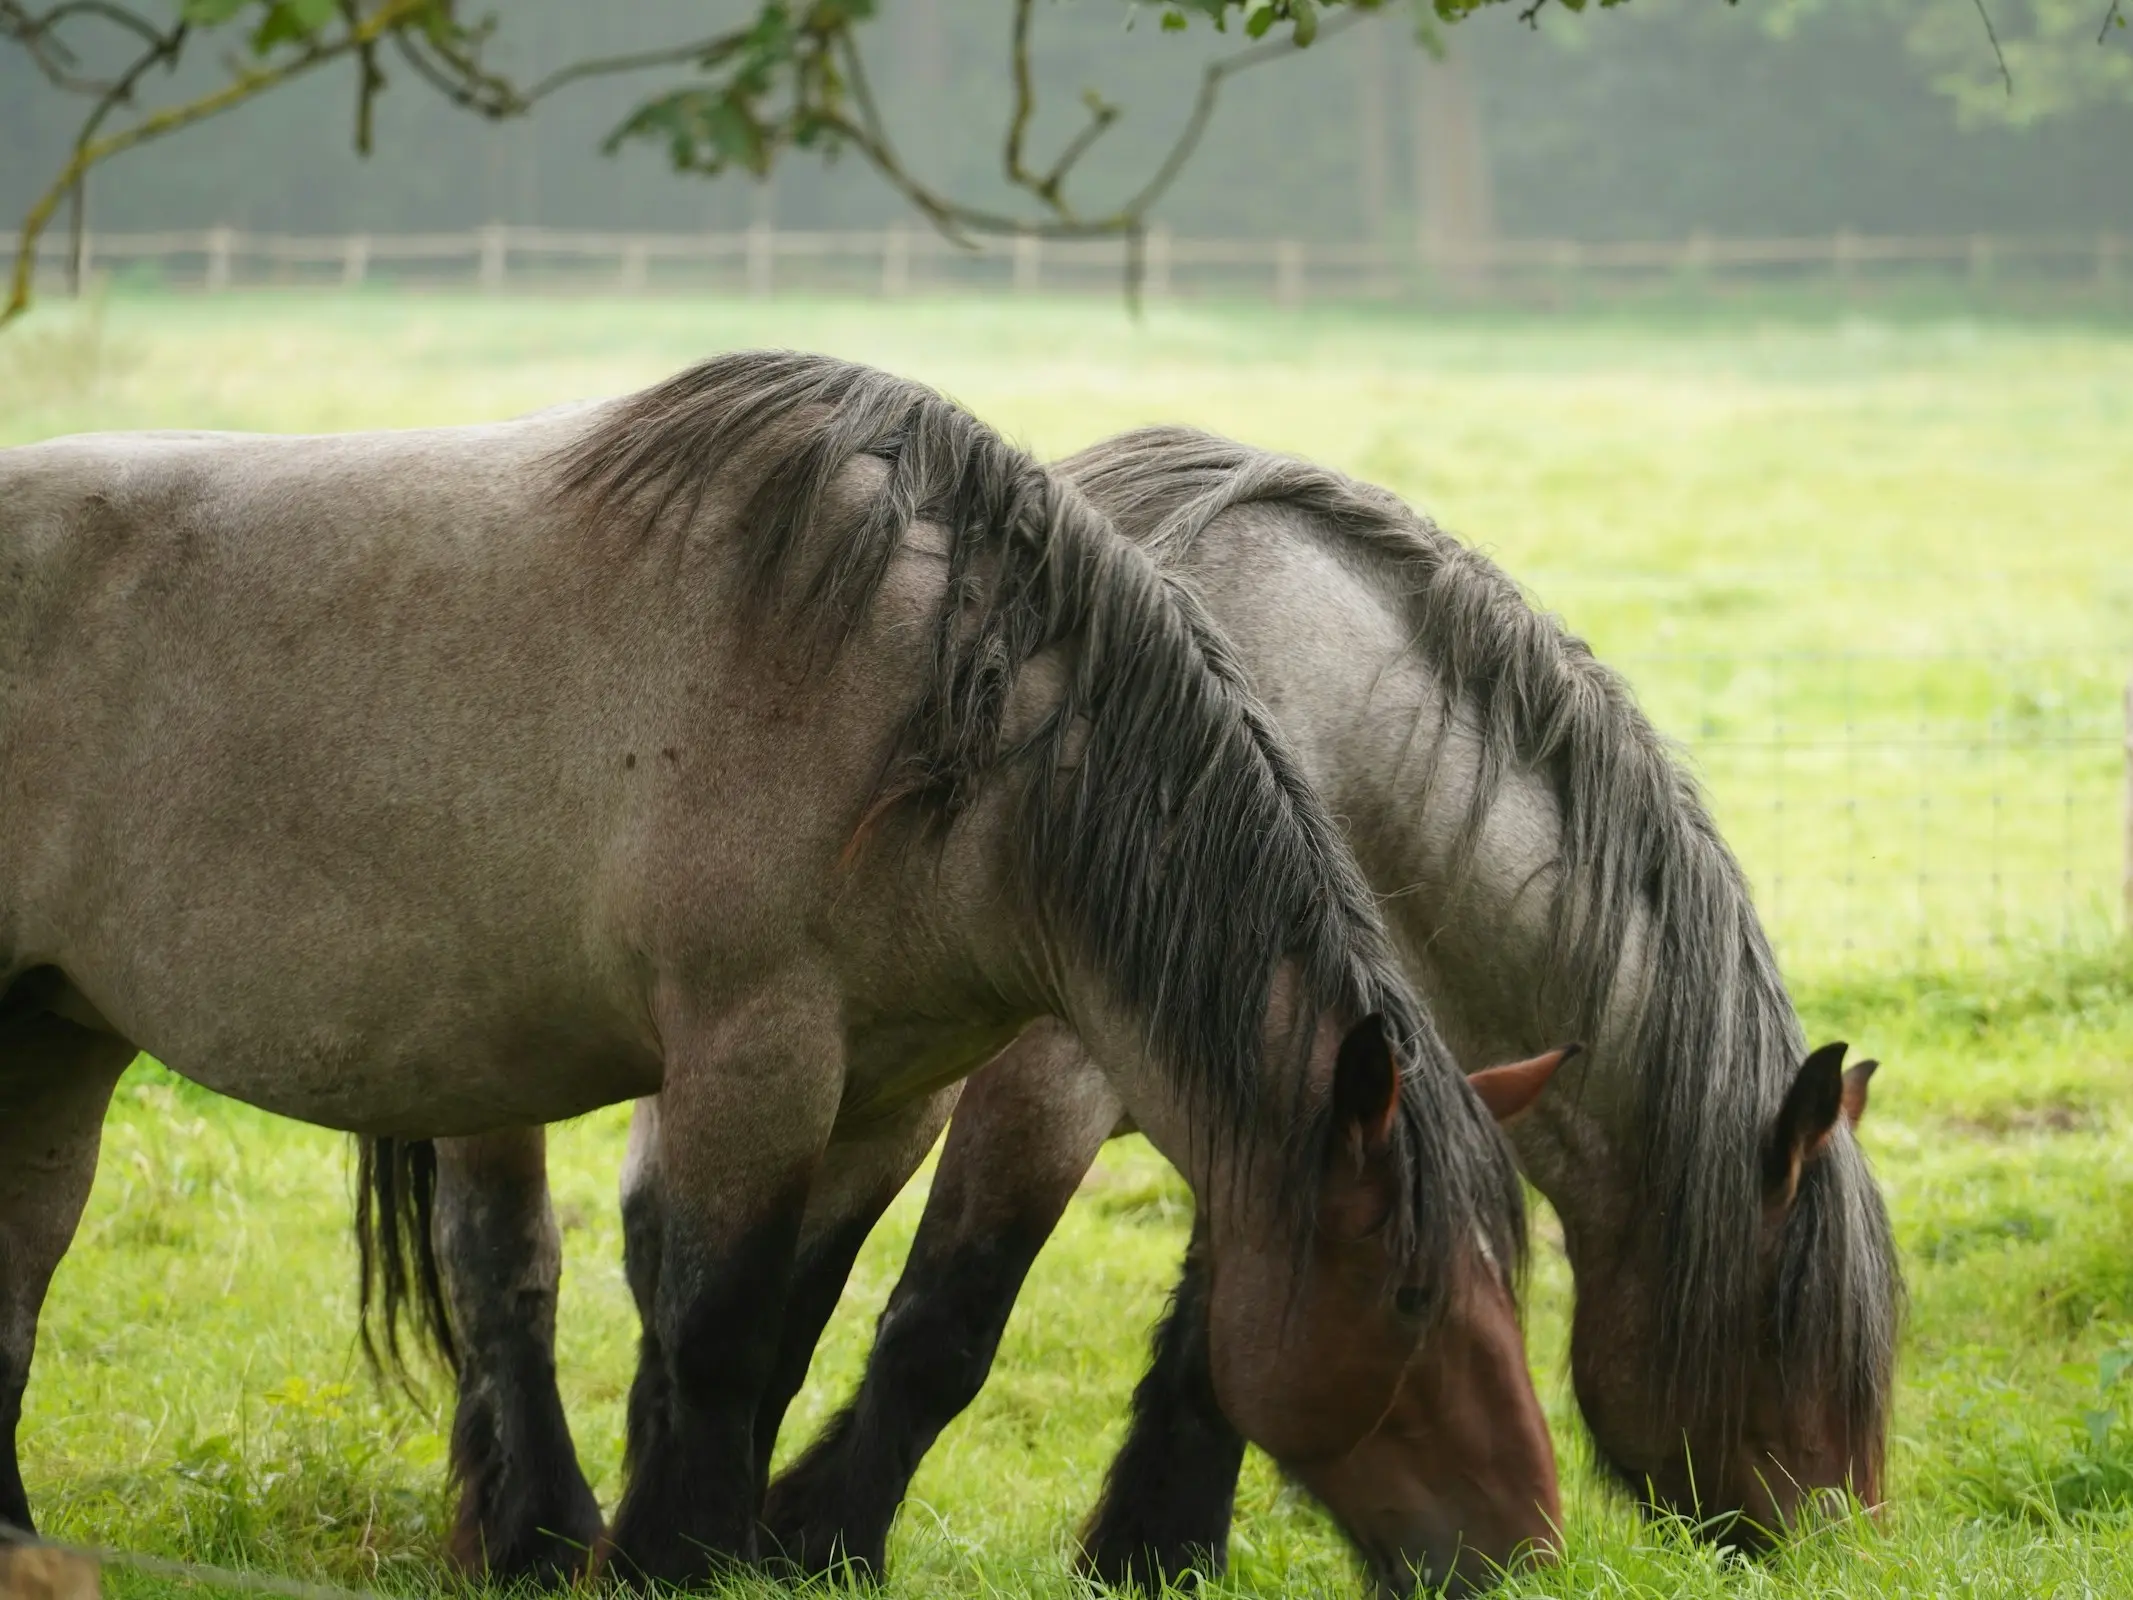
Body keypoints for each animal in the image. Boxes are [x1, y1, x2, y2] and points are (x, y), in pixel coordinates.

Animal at [0, 354, 1552, 1595]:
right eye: (1411, 1300)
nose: (1533, 1548)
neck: (937, 725)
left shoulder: (885, 1096)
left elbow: (795, 1327)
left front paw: (742, 1542)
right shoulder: (755, 1060)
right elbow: (720, 1332)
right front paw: (674, 1559)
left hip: (62, 1035)